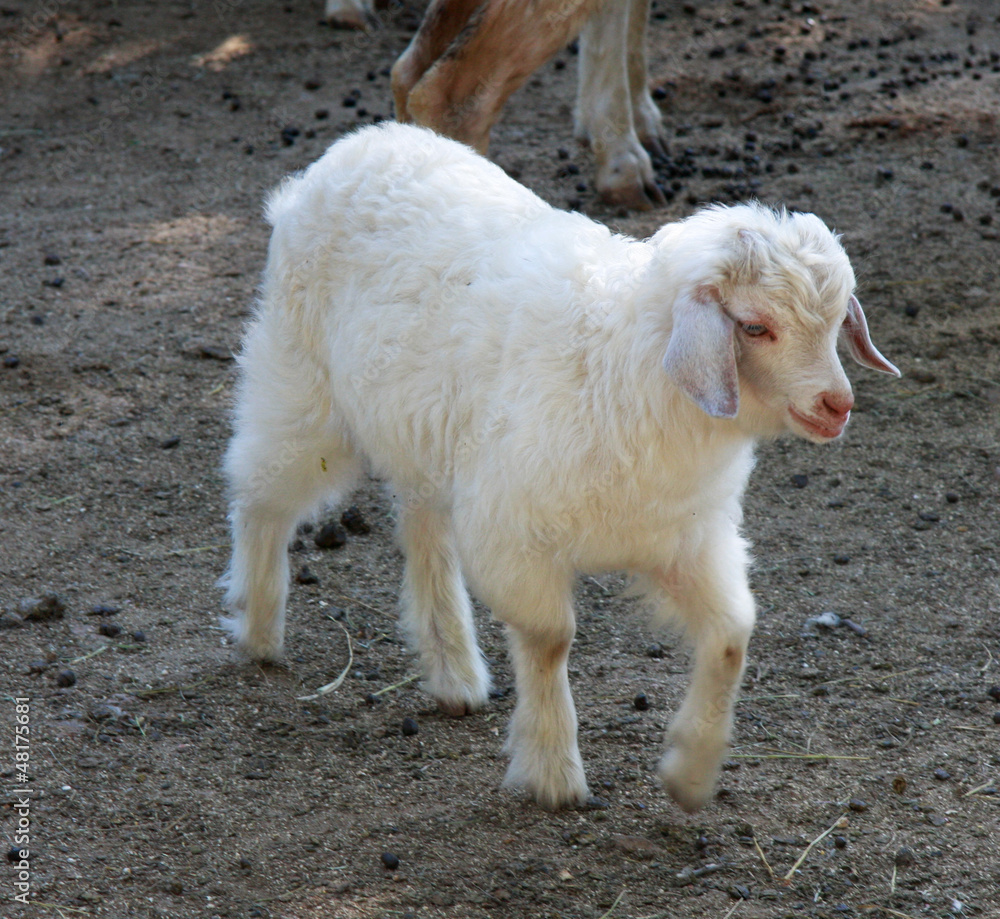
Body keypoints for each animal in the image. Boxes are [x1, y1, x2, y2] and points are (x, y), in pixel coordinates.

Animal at [221, 122, 900, 811]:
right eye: (756, 327)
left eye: (838, 321)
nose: (837, 405)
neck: (617, 367)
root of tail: (364, 143)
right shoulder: (516, 534)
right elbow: (551, 642)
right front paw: (553, 771)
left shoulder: (684, 538)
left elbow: (733, 637)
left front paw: (690, 770)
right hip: (303, 387)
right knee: (260, 494)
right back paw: (259, 626)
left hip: (427, 432)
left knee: (422, 526)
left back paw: (453, 672)